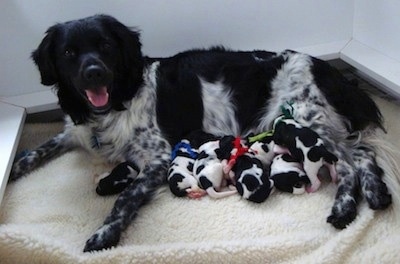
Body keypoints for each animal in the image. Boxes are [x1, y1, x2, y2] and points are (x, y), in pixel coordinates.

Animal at [10, 14, 392, 252]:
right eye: (69, 52)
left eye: (105, 46)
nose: (94, 73)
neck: (116, 101)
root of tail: (332, 71)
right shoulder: (74, 133)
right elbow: (37, 149)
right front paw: (13, 167)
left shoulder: (158, 158)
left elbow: (126, 198)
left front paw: (105, 232)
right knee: (362, 154)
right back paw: (376, 193)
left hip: (306, 119)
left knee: (351, 161)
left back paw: (347, 206)